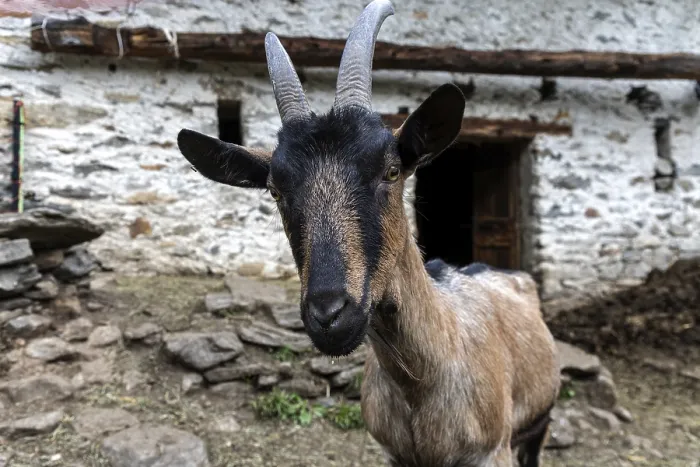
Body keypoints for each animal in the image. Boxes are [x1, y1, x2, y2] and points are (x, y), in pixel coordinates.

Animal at [176, 1, 560, 465]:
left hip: (538, 423)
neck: (421, 379)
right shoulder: (395, 454)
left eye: (392, 171)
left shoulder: (491, 451)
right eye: (274, 189)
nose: (329, 315)